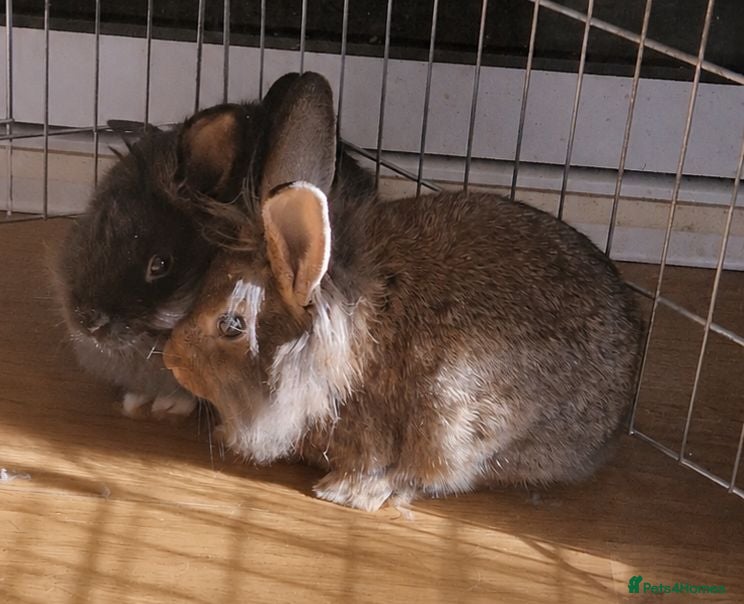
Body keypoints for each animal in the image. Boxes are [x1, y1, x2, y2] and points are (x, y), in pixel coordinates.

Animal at [163, 72, 643, 512]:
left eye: (231, 326)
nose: (171, 359)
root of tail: (617, 415)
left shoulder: (382, 432)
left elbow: (378, 464)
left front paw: (343, 491)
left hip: (455, 420)